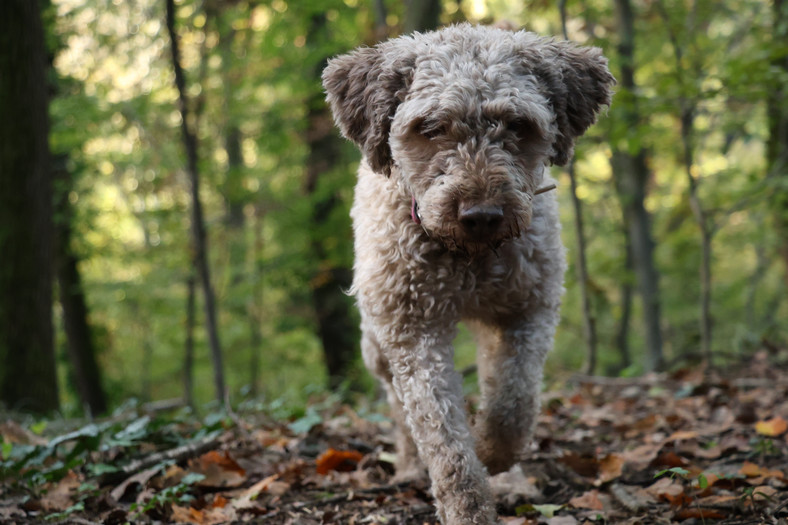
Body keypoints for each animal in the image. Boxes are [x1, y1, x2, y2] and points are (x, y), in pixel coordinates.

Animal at [322, 24, 616, 524]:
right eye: (430, 128)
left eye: (518, 125)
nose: (481, 215)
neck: (468, 261)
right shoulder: (413, 330)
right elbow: (442, 438)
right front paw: (468, 505)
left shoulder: (528, 311)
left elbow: (513, 403)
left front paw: (494, 456)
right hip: (375, 341)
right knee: (396, 405)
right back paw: (406, 465)